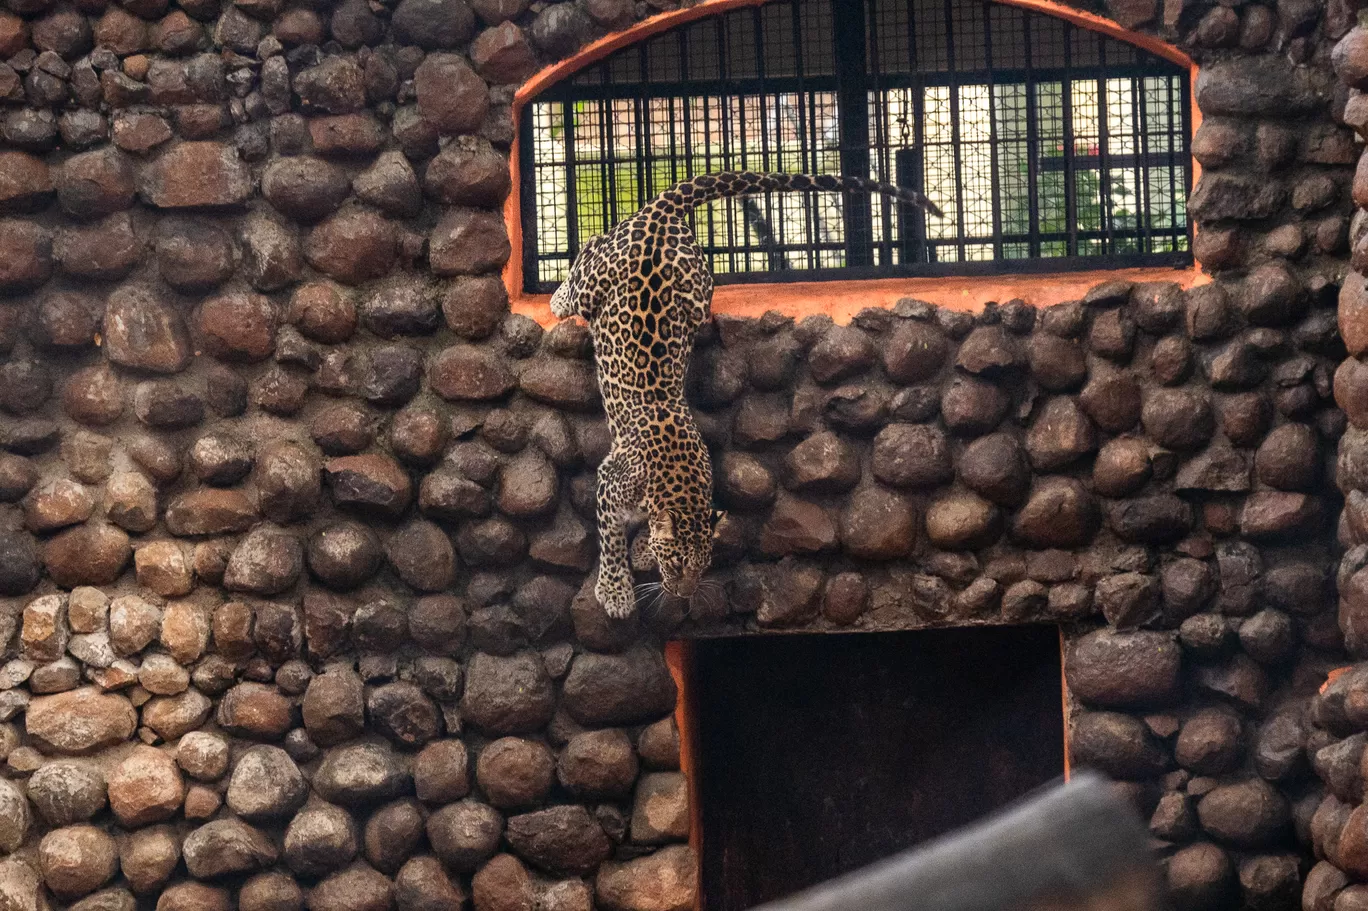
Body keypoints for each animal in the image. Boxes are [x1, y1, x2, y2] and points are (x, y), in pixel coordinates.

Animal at [544, 168, 941, 618]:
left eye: (702, 566)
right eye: (677, 564)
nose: (683, 595)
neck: (677, 482)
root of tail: (658, 217)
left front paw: (642, 553)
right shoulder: (611, 482)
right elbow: (609, 538)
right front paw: (616, 592)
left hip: (698, 293)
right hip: (599, 283)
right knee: (590, 252)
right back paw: (559, 297)